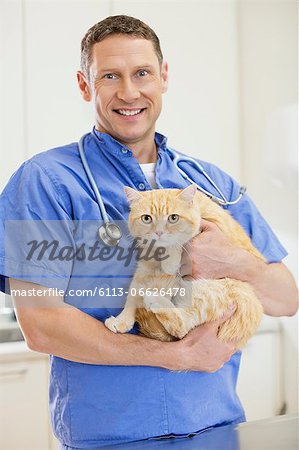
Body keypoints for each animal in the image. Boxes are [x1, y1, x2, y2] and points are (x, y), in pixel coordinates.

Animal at [105, 184, 264, 348]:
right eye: (146, 218)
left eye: (173, 218)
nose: (159, 232)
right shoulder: (144, 269)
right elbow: (133, 294)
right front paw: (122, 320)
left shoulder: (208, 224)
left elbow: (180, 241)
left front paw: (170, 261)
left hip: (213, 291)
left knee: (181, 328)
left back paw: (156, 299)